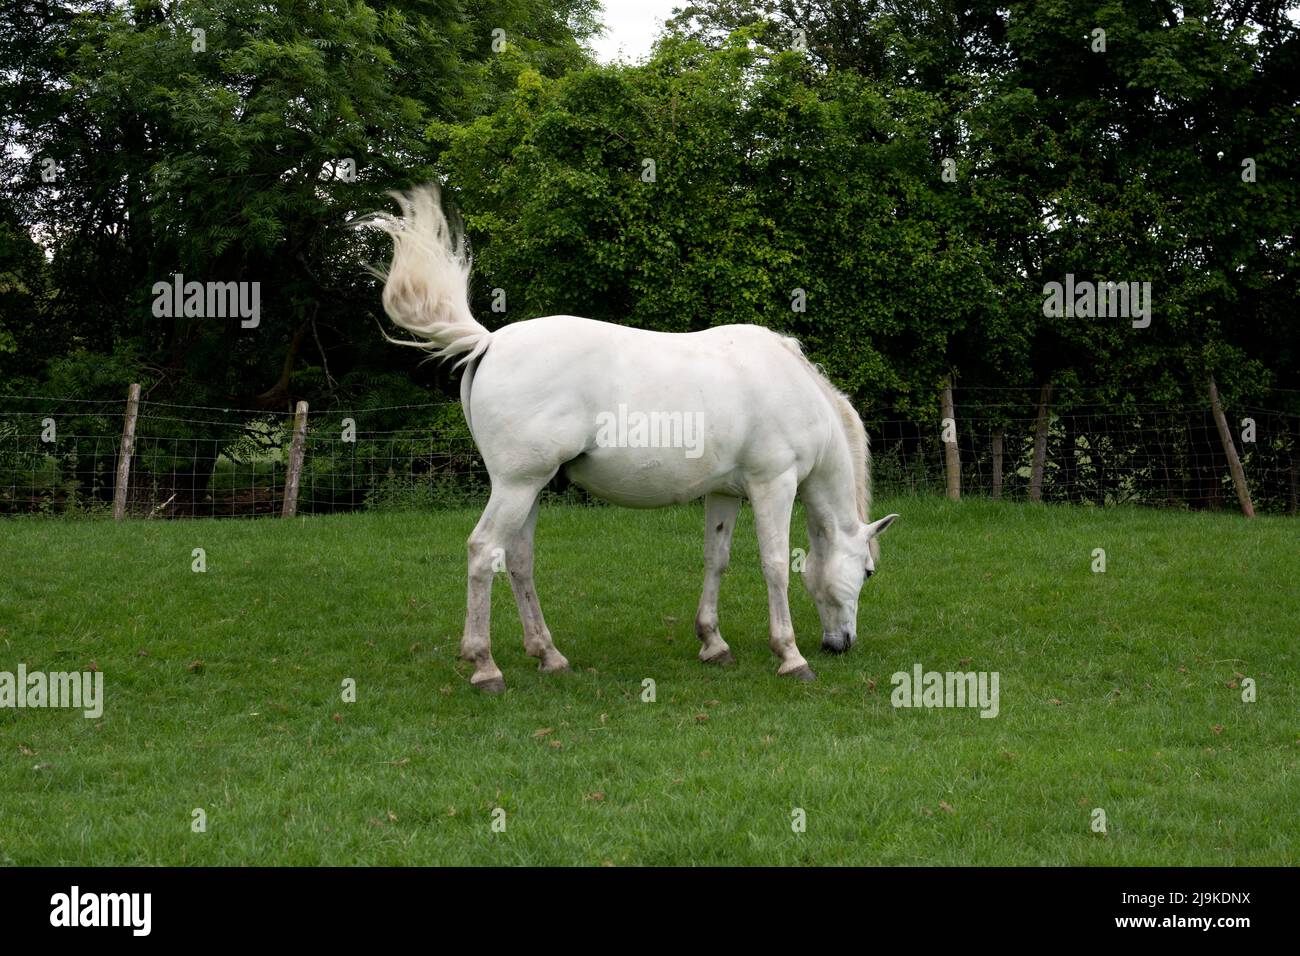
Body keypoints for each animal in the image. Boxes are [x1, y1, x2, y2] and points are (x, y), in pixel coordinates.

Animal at [361, 188, 899, 697]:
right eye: (869, 572)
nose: (840, 645)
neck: (794, 388)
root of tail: (489, 341)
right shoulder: (775, 485)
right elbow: (775, 564)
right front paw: (790, 655)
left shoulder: (724, 493)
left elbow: (717, 559)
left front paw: (713, 643)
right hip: (517, 485)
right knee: (483, 552)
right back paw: (485, 666)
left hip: (528, 488)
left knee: (518, 559)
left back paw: (548, 655)